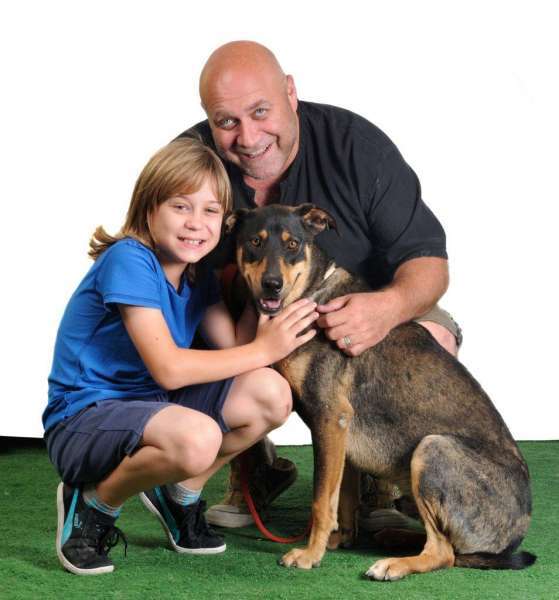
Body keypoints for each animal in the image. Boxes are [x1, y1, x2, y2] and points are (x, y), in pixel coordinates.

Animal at [225, 203, 535, 581]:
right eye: (254, 242)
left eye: (292, 244)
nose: (272, 285)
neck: (311, 296)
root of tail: (514, 536)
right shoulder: (341, 434)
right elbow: (342, 498)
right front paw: (339, 541)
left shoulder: (330, 419)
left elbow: (321, 500)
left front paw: (310, 555)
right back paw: (394, 537)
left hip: (432, 448)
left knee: (444, 552)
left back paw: (394, 564)